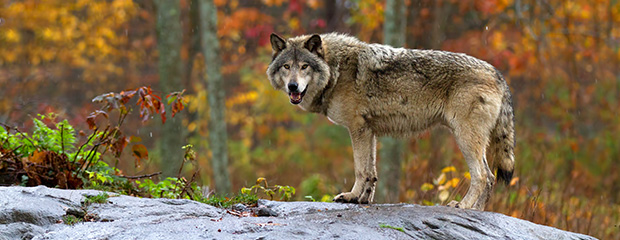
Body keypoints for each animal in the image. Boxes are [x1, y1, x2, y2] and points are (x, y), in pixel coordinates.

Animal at [266, 32, 512, 210]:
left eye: (304, 66)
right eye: (287, 66)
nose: (293, 87)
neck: (336, 71)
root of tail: (498, 74)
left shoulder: (357, 128)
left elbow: (360, 170)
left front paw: (351, 196)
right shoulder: (369, 131)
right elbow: (371, 172)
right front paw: (363, 200)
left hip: (464, 138)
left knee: (481, 176)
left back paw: (463, 205)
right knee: (491, 177)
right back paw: (477, 210)